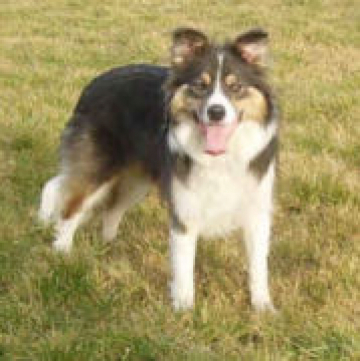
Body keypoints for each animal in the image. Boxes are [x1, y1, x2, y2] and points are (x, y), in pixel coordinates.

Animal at [39, 27, 278, 310]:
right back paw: (62, 253)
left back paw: (109, 245)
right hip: (97, 170)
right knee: (70, 208)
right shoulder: (185, 210)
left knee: (111, 209)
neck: (221, 156)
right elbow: (184, 268)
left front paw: (263, 307)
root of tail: (94, 83)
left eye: (236, 86)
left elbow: (259, 265)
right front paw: (184, 309)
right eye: (200, 85)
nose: (216, 112)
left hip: (137, 181)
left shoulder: (256, 211)